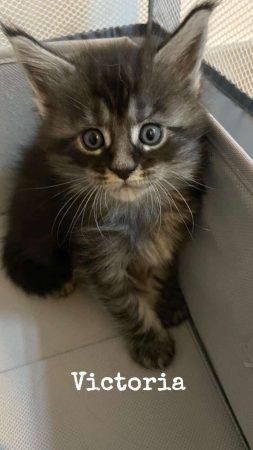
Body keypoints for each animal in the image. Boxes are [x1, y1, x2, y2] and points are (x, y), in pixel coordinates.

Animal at [1, 2, 213, 370]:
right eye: (92, 139)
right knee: (13, 253)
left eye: (150, 134)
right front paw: (149, 340)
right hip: (38, 218)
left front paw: (167, 299)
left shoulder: (170, 229)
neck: (135, 213)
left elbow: (163, 266)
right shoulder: (94, 250)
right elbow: (123, 300)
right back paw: (53, 281)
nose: (123, 169)